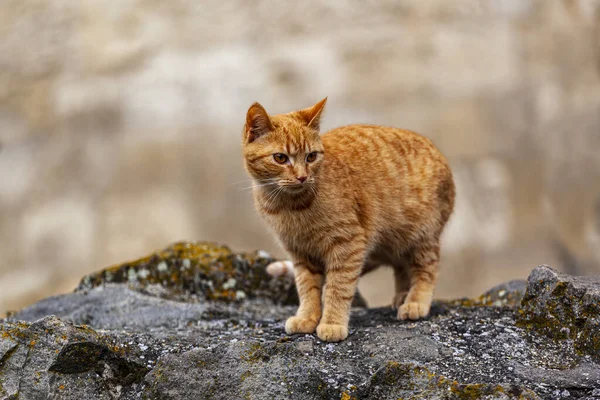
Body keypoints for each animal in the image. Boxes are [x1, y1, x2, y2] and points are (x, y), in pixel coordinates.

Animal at [241, 97, 452, 340]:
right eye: (280, 158)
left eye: (311, 157)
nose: (302, 177)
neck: (290, 206)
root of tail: (437, 151)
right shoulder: (300, 253)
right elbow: (307, 288)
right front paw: (307, 318)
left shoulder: (348, 244)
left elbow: (337, 287)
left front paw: (332, 323)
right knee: (401, 267)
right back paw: (402, 296)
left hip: (421, 236)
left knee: (426, 269)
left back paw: (415, 301)